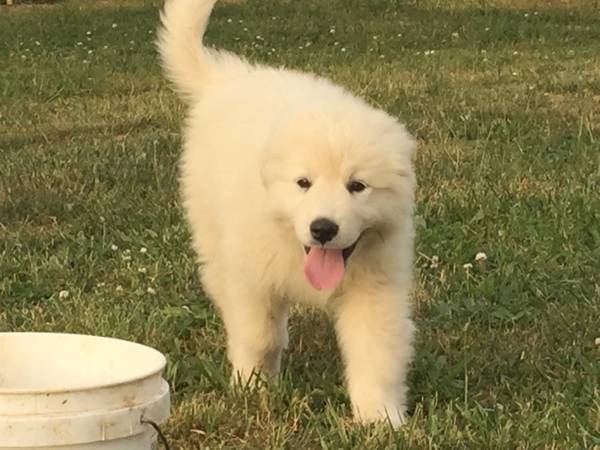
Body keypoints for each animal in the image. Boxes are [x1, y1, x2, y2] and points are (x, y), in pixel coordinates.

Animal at [159, 0, 418, 426]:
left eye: (357, 186)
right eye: (303, 183)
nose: (323, 228)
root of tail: (231, 78)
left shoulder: (375, 288)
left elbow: (376, 351)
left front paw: (380, 418)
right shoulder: (251, 277)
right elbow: (259, 335)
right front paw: (253, 386)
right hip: (211, 235)